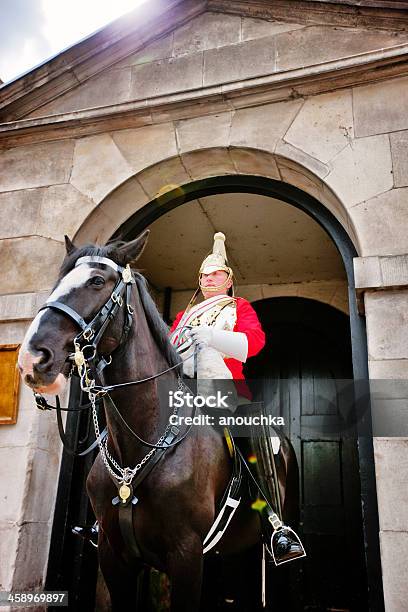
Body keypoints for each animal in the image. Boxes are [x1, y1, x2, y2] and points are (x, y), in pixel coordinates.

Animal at [17, 232, 302, 608]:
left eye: (97, 281)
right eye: (57, 281)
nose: (32, 359)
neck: (141, 445)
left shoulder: (186, 553)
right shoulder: (114, 555)